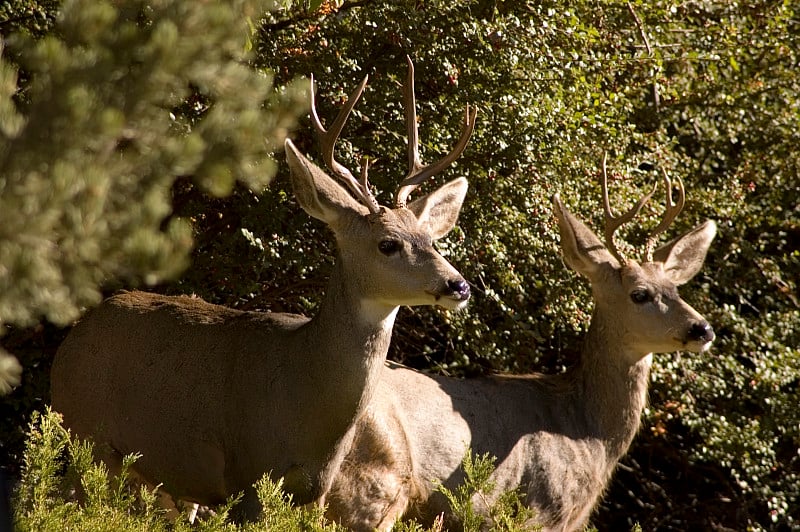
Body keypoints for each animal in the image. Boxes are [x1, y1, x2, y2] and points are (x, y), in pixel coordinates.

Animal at [51, 59, 476, 520]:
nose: (458, 285)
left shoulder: (316, 490)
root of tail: (73, 336)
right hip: (82, 435)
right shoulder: (248, 471)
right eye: (387, 244)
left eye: (431, 239)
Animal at [324, 156, 720, 532]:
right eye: (640, 294)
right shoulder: (541, 510)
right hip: (371, 485)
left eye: (676, 290)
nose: (702, 329)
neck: (587, 433)